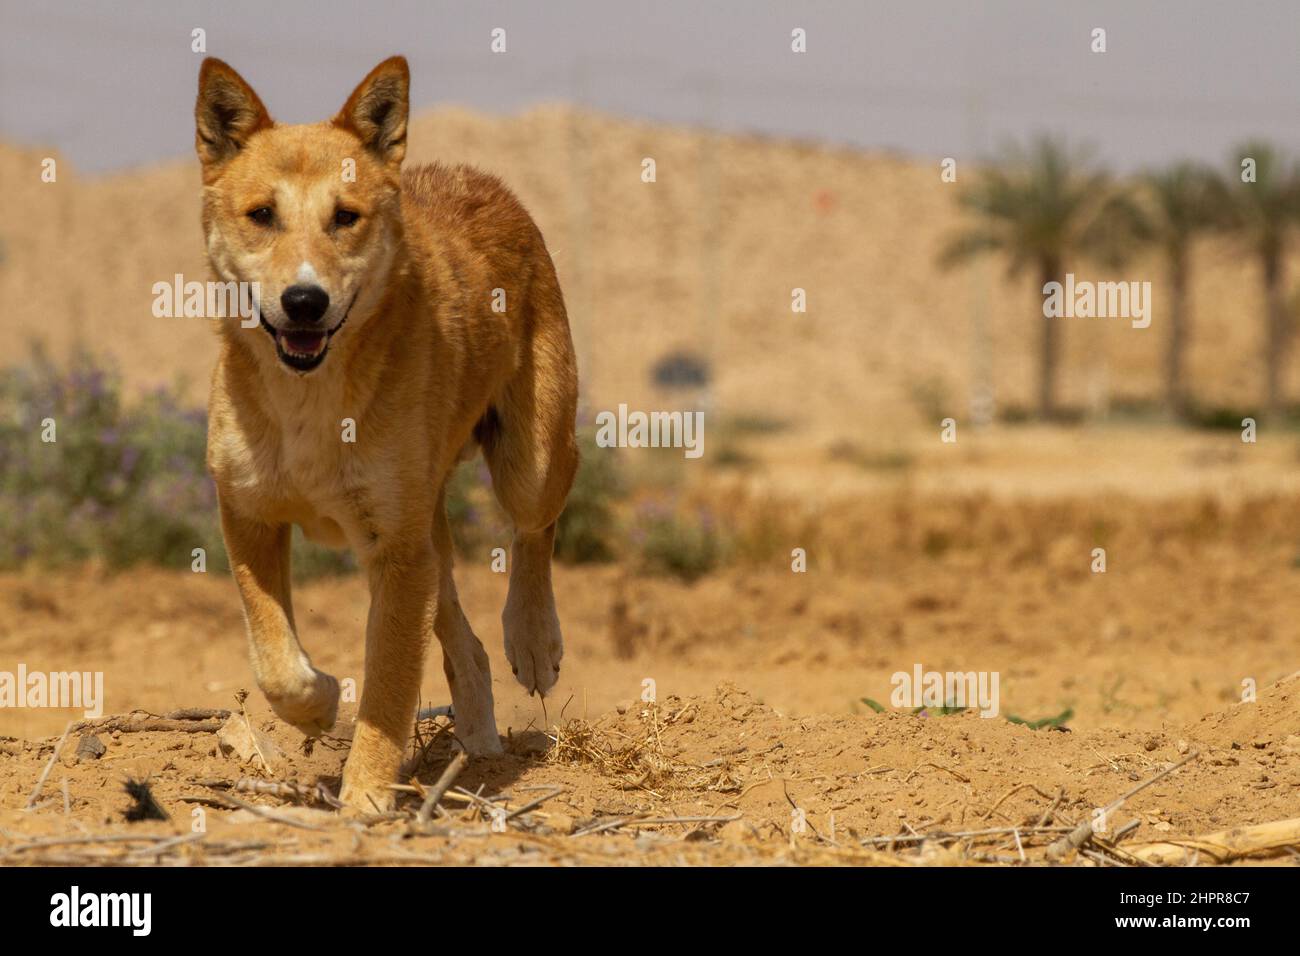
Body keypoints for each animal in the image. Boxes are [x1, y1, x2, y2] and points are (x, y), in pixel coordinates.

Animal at [193, 55, 579, 811]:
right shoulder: (248, 512)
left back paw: (533, 641)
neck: (309, 399)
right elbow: (274, 656)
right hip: (424, 523)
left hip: (528, 463)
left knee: (537, 522)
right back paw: (480, 736)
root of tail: (480, 178)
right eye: (262, 215)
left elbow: (389, 688)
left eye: (345, 217)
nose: (303, 301)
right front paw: (316, 704)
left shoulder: (395, 554)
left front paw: (368, 796)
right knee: (461, 633)